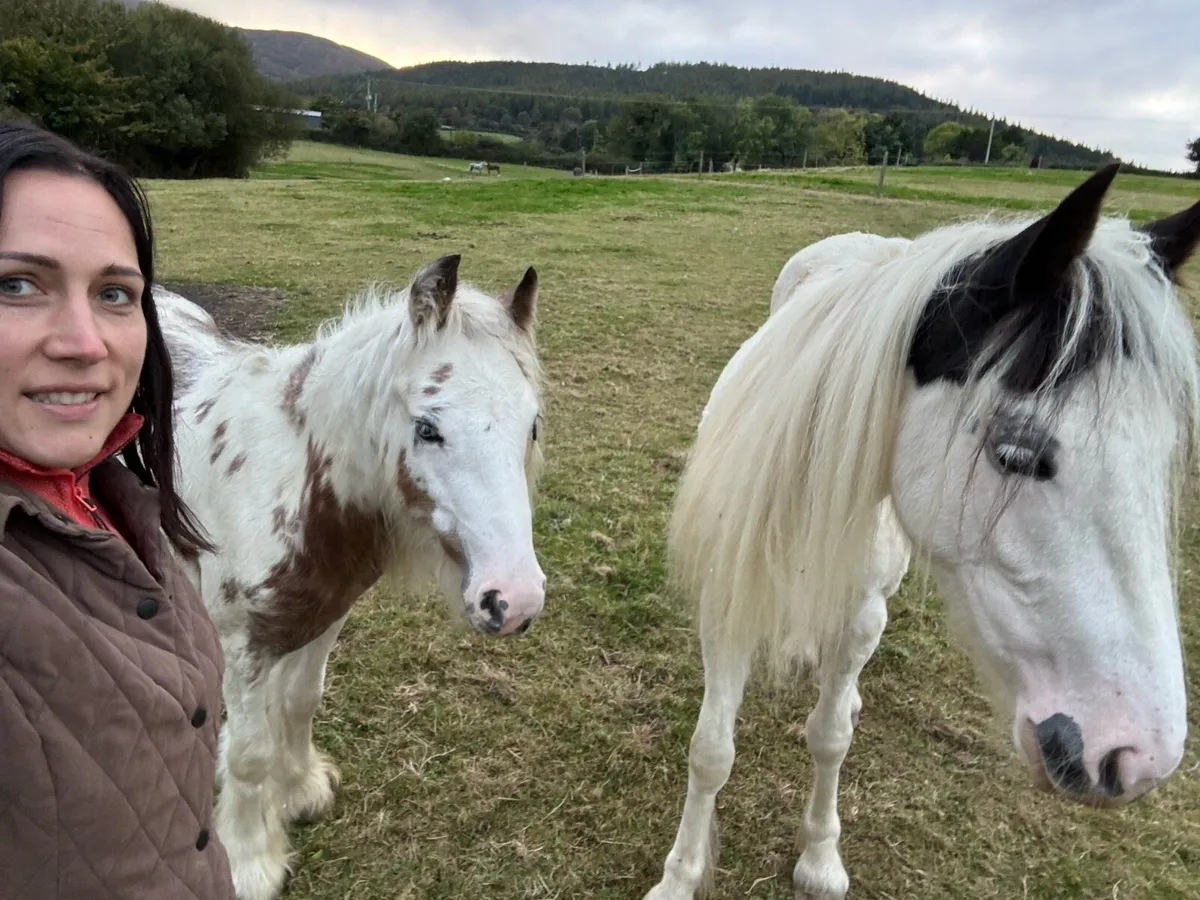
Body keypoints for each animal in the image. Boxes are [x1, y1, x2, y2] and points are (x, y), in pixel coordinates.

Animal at [154, 254, 546, 900]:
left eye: (532, 425)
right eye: (428, 428)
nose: (513, 600)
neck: (292, 482)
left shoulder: (326, 613)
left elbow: (300, 702)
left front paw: (300, 790)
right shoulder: (244, 643)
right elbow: (249, 753)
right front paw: (249, 861)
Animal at [643, 165, 1200, 900]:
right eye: (1015, 454)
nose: (1138, 758)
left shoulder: (862, 613)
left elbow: (829, 738)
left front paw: (820, 857)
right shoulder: (727, 598)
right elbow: (711, 751)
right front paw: (680, 876)